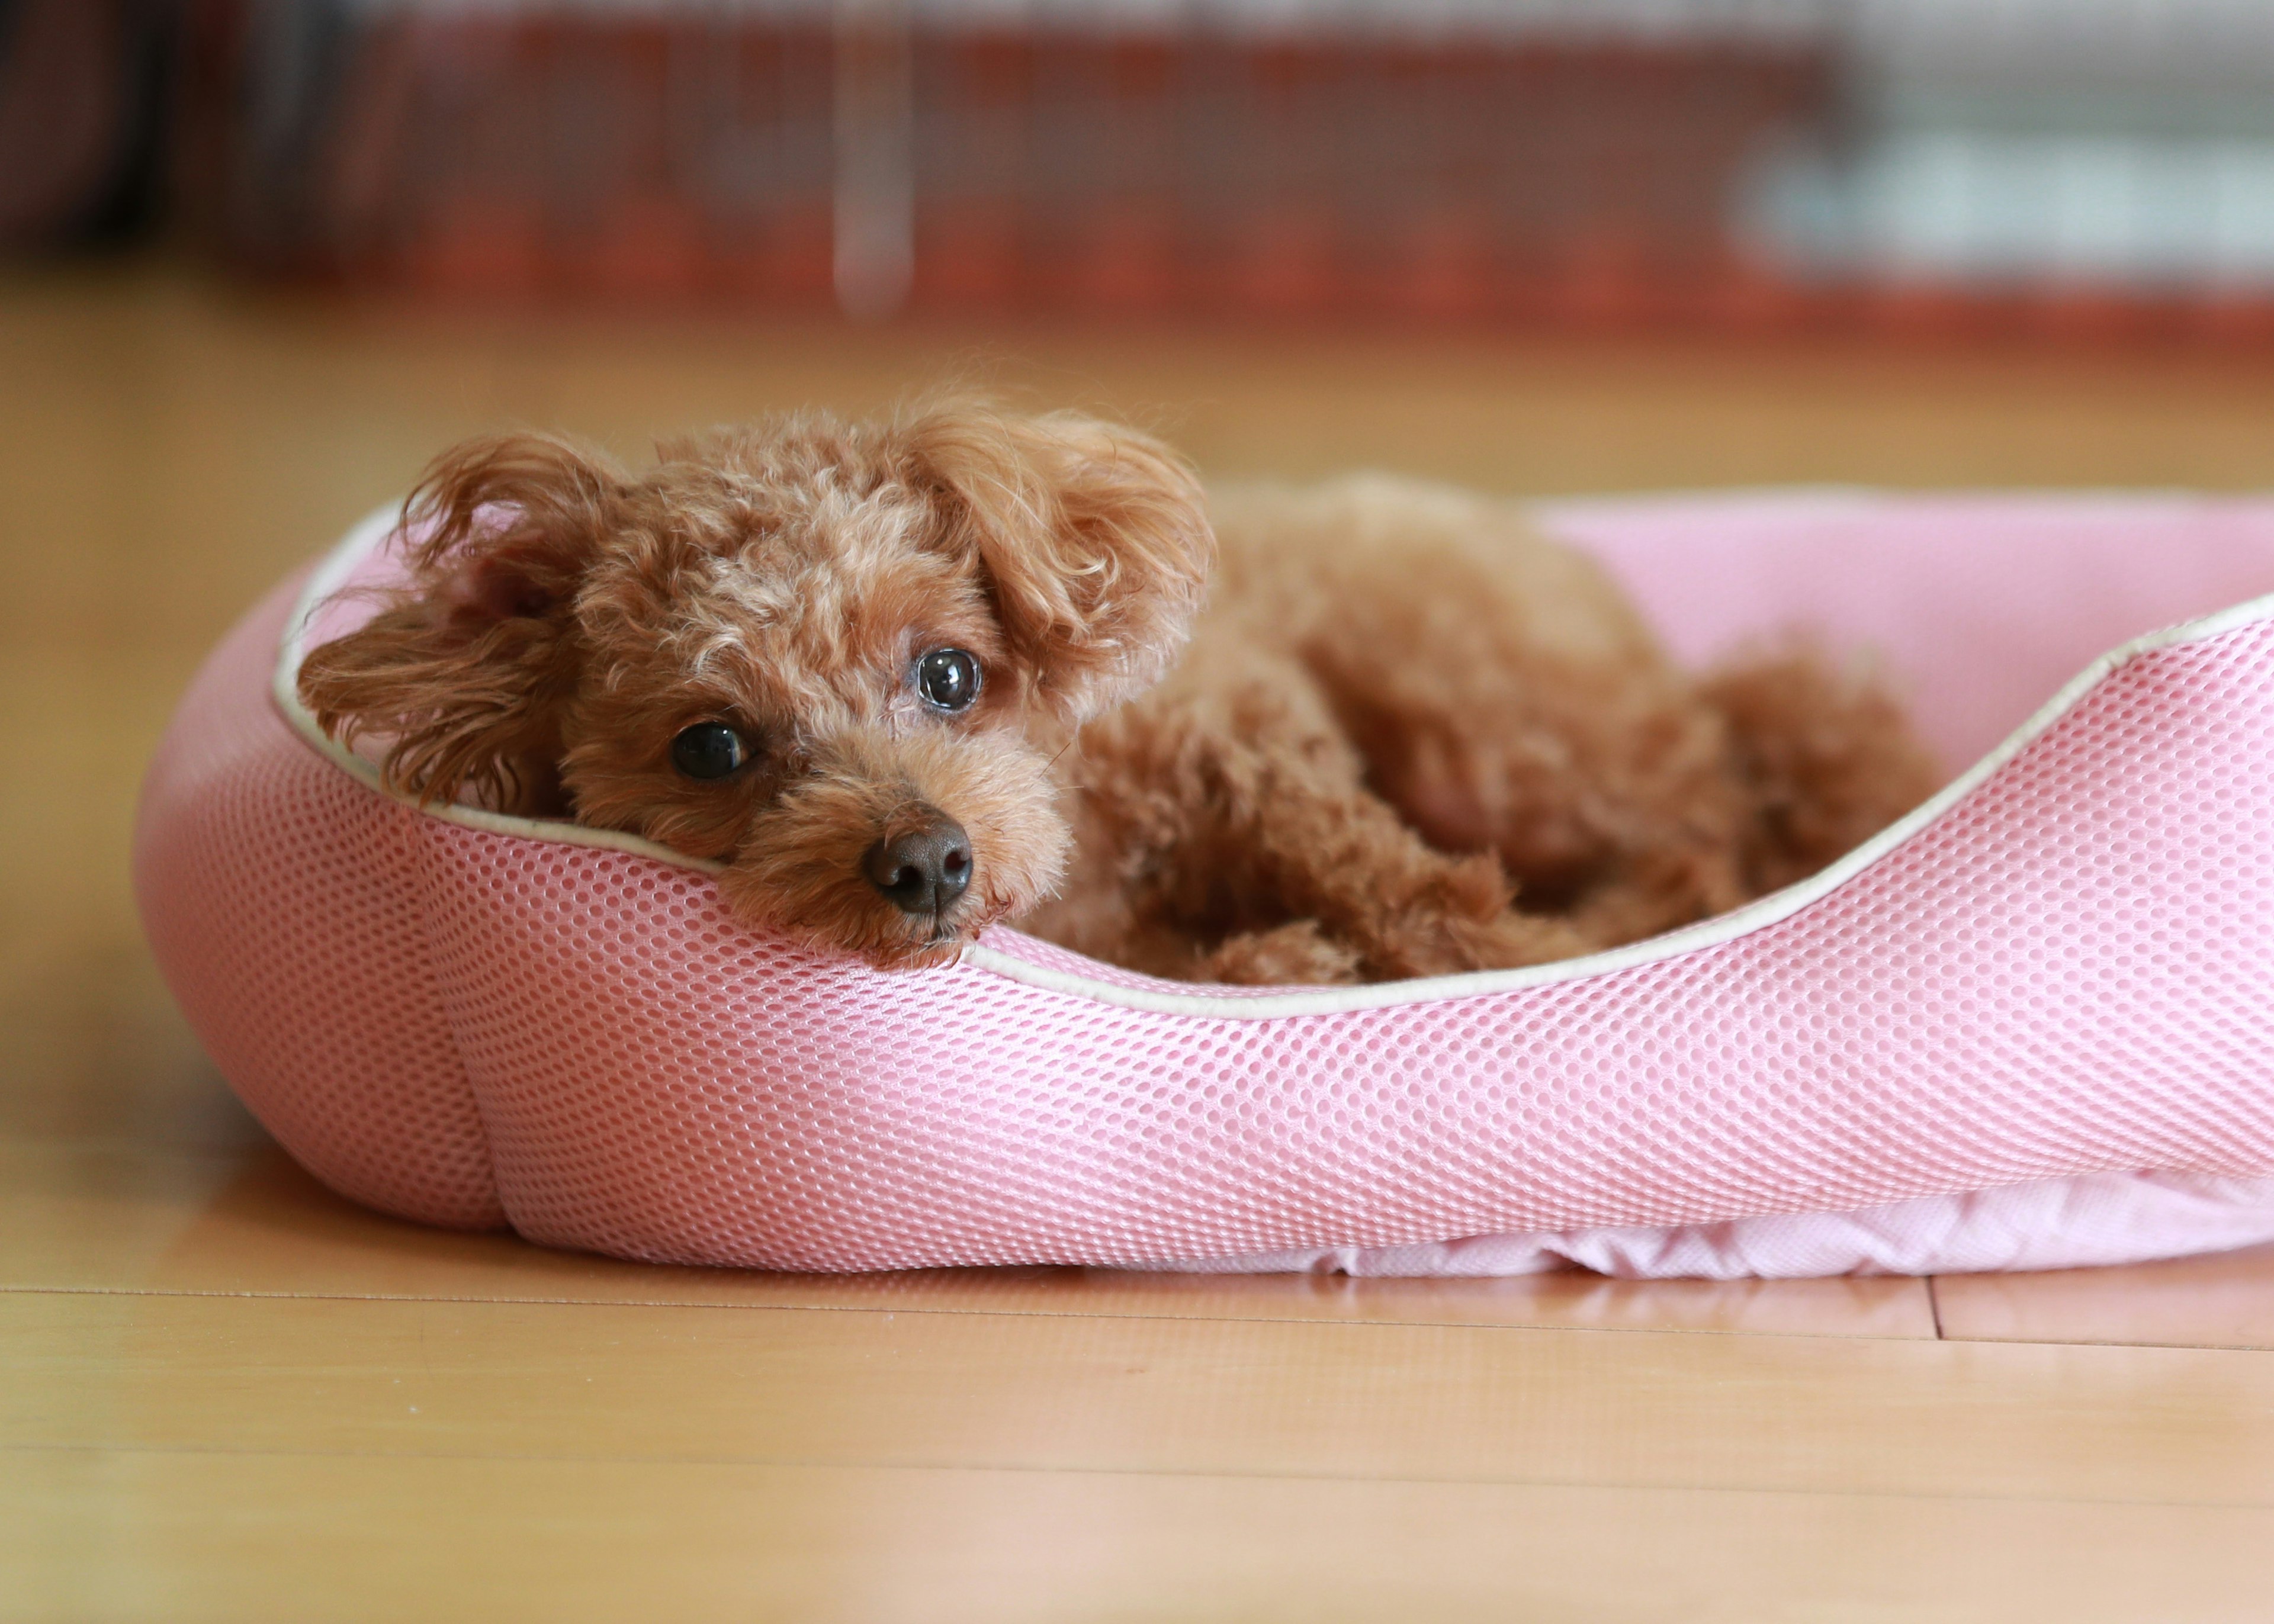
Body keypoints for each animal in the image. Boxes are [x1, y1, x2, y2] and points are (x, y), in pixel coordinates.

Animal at [302, 407, 1937, 987]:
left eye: (949, 671)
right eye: (710, 746)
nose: (926, 860)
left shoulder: (1253, 733)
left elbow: (1423, 897)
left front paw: (1489, 953)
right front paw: (1279, 962)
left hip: (1485, 721)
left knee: (1696, 841)